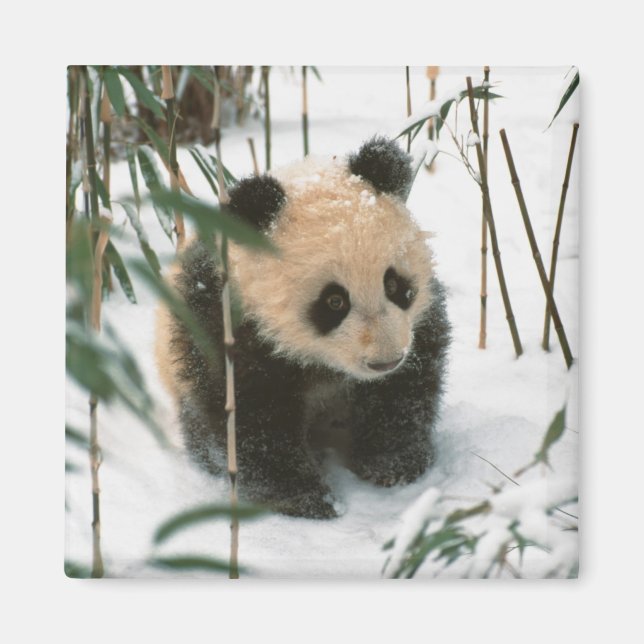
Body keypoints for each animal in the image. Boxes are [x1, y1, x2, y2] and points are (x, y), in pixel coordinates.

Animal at [155, 136, 450, 519]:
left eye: (394, 284)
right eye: (334, 301)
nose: (384, 361)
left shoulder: (417, 327)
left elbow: (404, 390)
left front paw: (394, 464)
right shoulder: (225, 327)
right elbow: (250, 419)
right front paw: (305, 498)